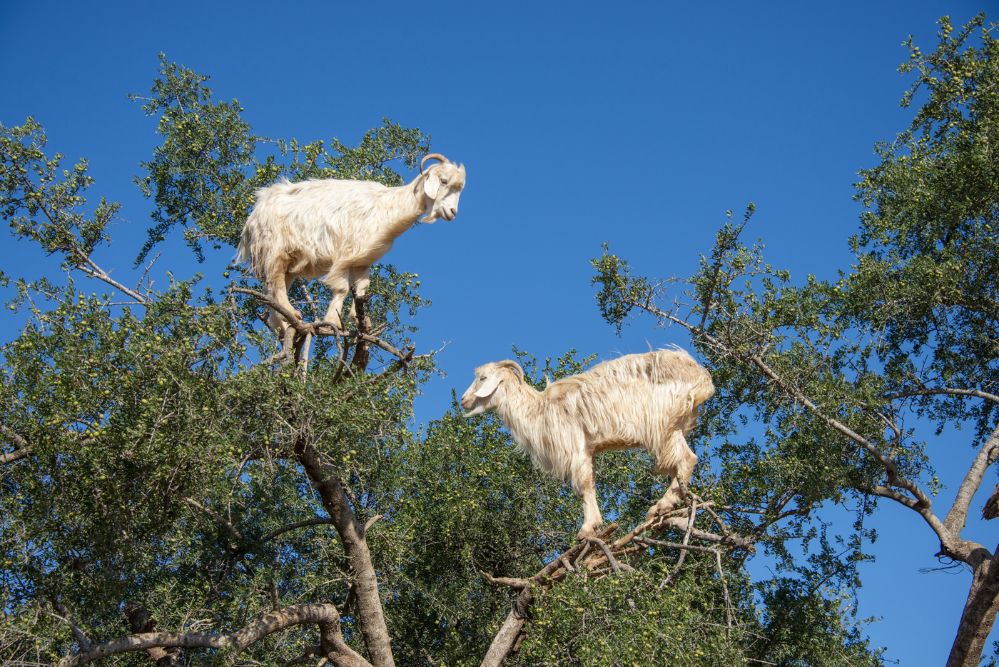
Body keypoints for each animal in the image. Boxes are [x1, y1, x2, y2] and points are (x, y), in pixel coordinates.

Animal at [237, 153, 466, 336]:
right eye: (443, 181)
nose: (452, 212)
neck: (387, 207)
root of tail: (255, 213)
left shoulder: (362, 260)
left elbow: (362, 289)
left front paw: (363, 322)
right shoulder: (344, 255)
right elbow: (342, 289)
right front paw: (333, 322)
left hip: (288, 262)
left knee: (274, 289)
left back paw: (283, 325)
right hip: (276, 250)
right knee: (275, 282)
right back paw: (292, 314)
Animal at [460, 349, 714, 538]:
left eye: (482, 378)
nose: (463, 400)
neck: (540, 409)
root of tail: (701, 376)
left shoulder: (577, 447)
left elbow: (583, 486)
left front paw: (587, 529)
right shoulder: (589, 449)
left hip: (662, 426)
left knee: (686, 458)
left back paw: (661, 506)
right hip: (674, 426)